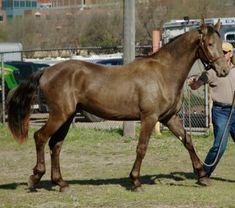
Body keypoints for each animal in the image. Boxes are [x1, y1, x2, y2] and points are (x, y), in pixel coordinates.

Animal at [7, 20, 229, 192]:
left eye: (220, 43)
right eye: (210, 43)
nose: (224, 70)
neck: (163, 73)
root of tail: (46, 71)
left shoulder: (169, 118)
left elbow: (188, 141)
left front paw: (202, 175)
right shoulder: (149, 118)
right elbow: (141, 148)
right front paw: (135, 181)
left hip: (67, 118)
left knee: (56, 145)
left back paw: (61, 183)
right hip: (59, 115)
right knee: (40, 137)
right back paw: (35, 178)